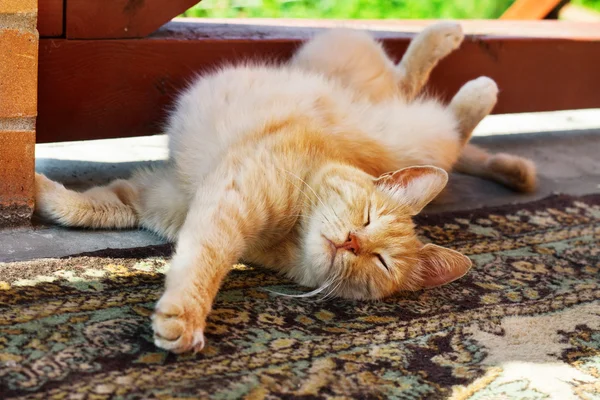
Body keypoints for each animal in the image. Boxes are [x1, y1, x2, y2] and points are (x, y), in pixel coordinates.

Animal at [35, 21, 536, 354]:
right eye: (367, 216)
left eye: (381, 262)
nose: (352, 242)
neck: (288, 234)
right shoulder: (211, 196)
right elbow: (194, 254)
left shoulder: (166, 198)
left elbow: (111, 214)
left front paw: (185, 315)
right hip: (351, 64)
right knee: (412, 88)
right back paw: (456, 51)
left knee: (439, 114)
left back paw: (488, 112)